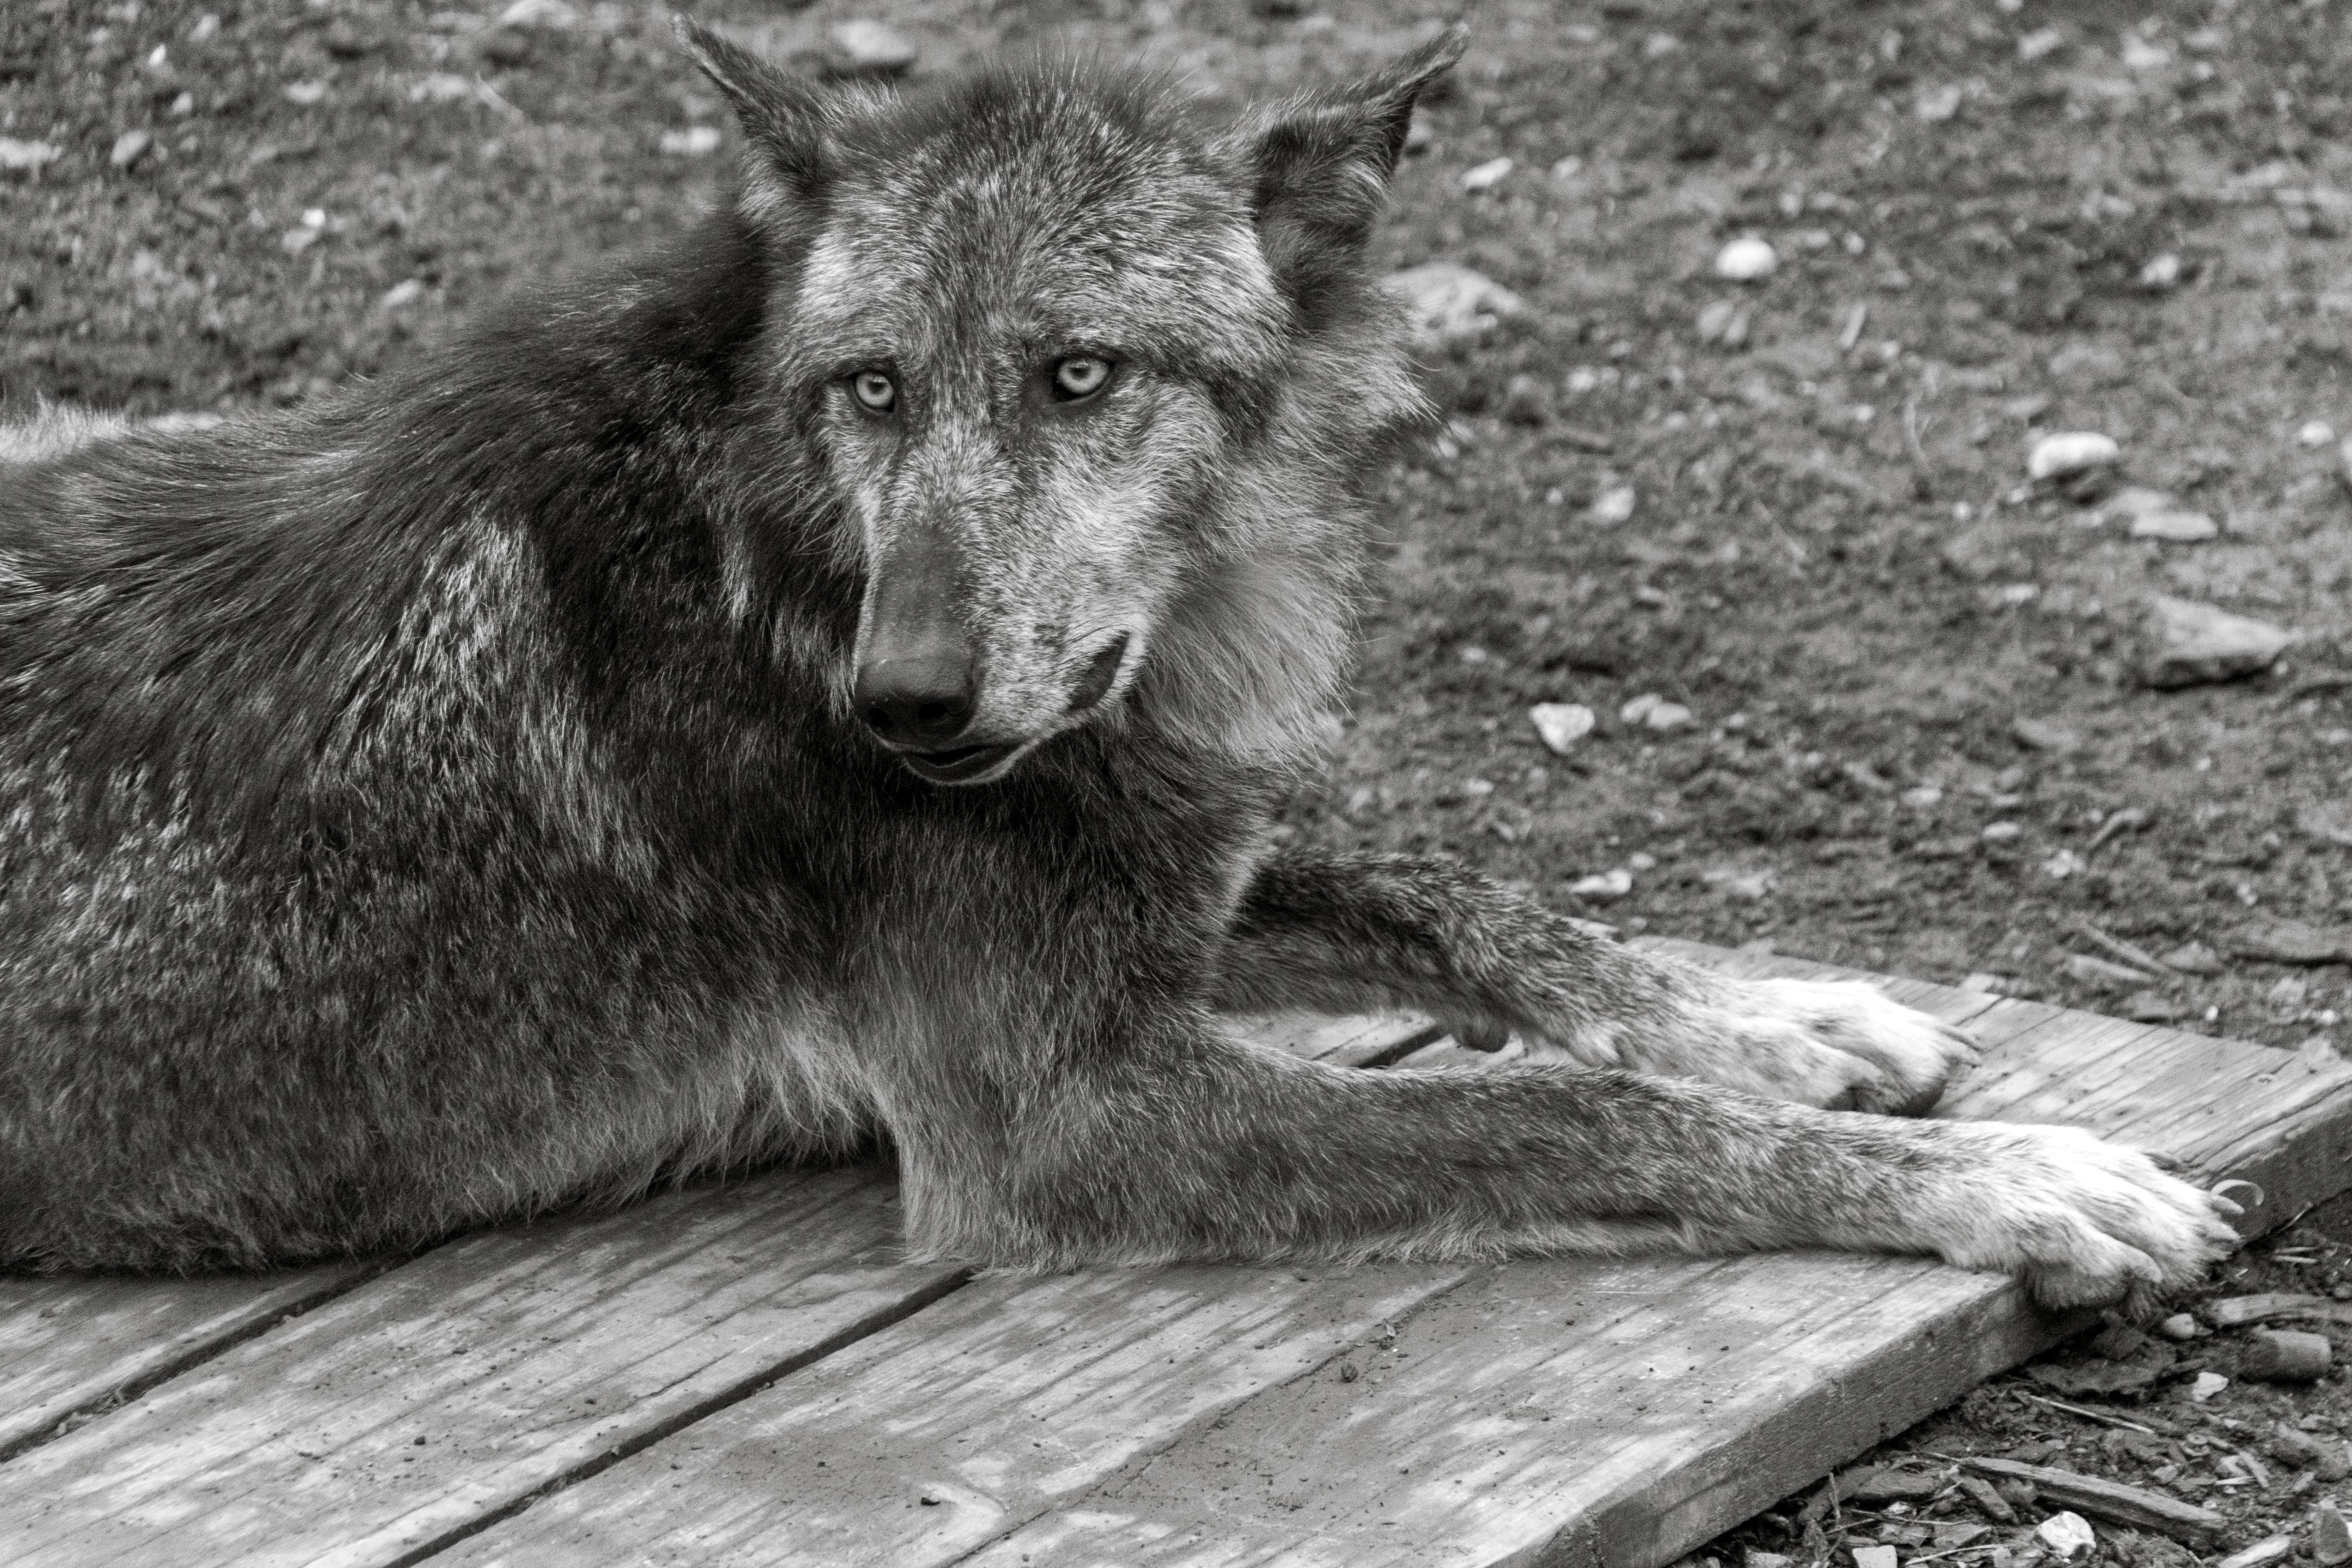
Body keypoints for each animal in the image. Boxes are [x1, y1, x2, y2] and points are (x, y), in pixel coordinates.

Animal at [0, 24, 2239, 1307]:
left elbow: (1459, 898)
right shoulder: (1069, 1114)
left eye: (1080, 375)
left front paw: (1778, 1016)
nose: (901, 708)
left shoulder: (1175, 851)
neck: (778, 549)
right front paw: (1992, 1180)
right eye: (870, 387)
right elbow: (1574, 1112)